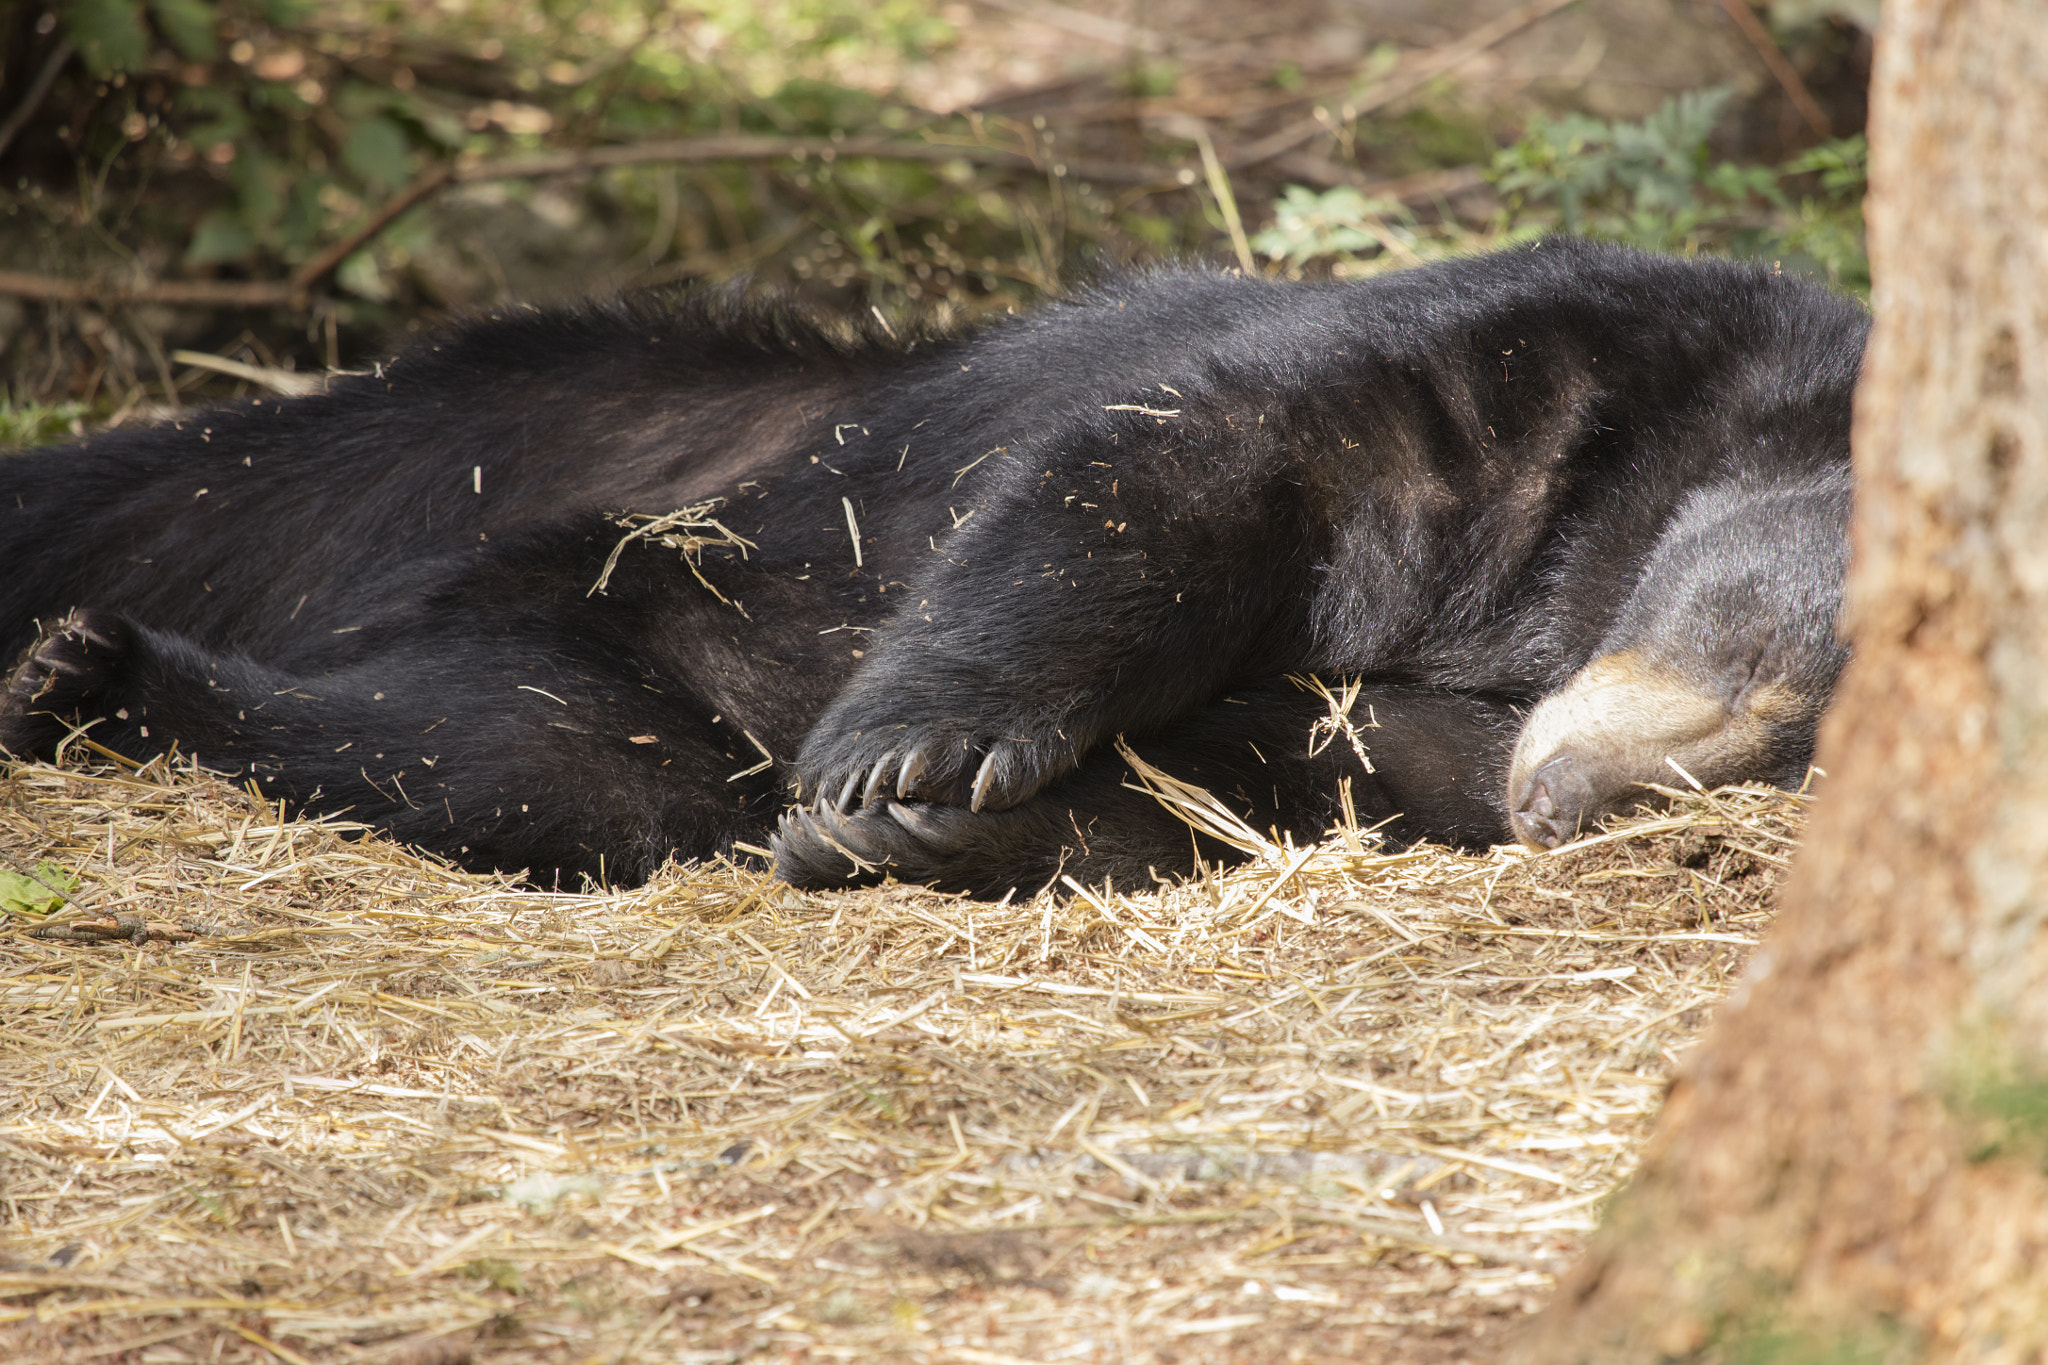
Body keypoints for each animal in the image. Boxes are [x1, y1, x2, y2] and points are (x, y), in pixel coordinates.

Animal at [0, 238, 1866, 897]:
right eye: (1740, 638)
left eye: (1789, 776)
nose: (1570, 802)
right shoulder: (1558, 366)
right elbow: (1195, 461)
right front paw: (907, 748)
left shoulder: (1427, 746)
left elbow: (1264, 778)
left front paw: (905, 829)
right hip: (577, 462)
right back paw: (82, 662)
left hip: (597, 668)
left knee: (514, 757)